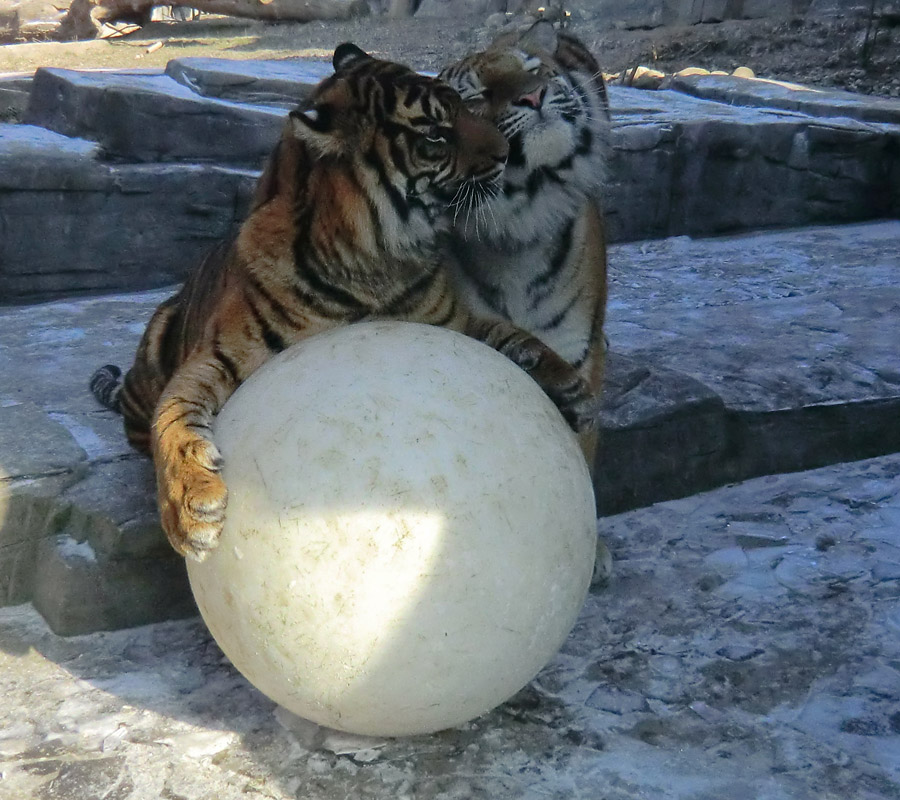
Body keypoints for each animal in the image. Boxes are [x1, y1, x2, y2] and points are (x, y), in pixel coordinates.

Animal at [89, 39, 596, 564]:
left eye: (464, 107)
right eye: (436, 135)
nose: (505, 152)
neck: (374, 265)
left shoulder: (451, 322)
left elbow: (510, 334)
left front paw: (568, 386)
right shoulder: (217, 356)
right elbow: (173, 416)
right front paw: (191, 509)